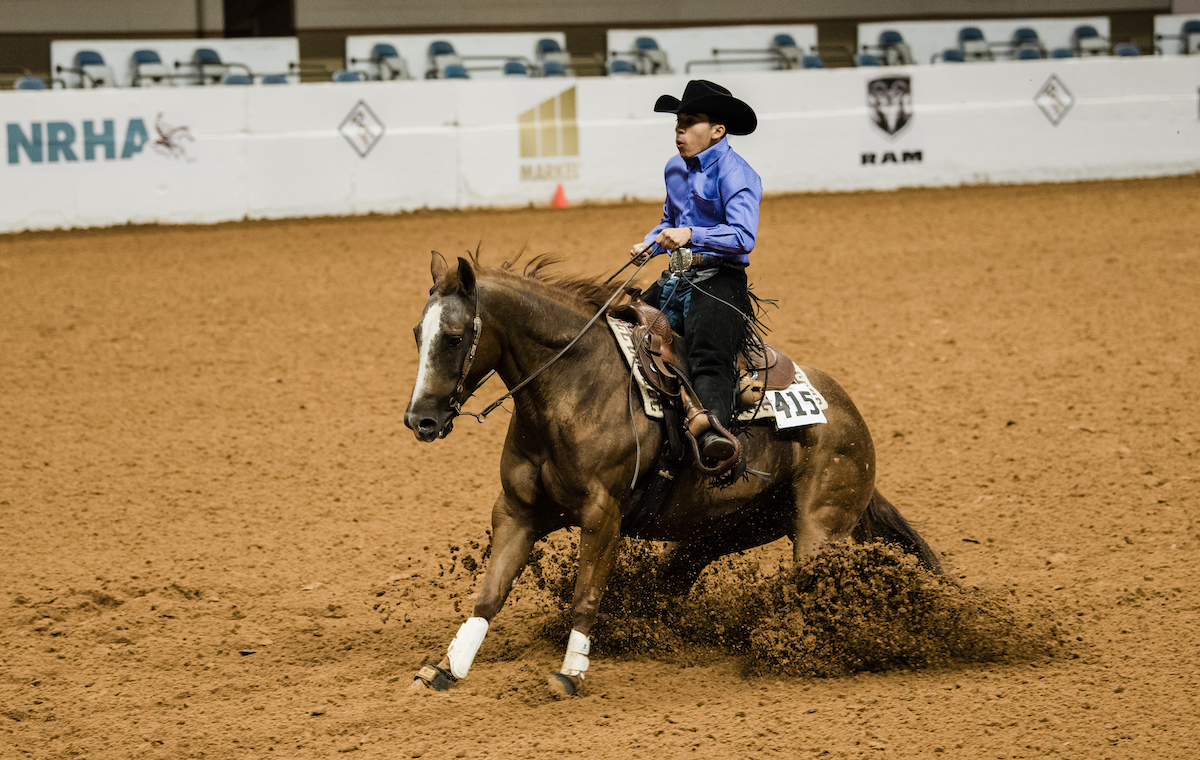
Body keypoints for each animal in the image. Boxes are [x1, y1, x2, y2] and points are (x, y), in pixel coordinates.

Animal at [403, 252, 936, 696]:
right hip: (726, 529)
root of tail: (848, 414)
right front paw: (447, 668)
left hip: (820, 529)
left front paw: (571, 673)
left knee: (813, 586)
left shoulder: (603, 515)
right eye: (416, 334)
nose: (420, 420)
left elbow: (585, 597)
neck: (573, 388)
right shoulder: (517, 511)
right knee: (674, 579)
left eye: (454, 338)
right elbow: (488, 596)